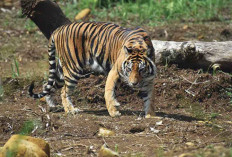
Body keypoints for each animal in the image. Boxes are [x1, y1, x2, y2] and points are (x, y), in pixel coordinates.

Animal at [28, 21, 157, 118]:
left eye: (141, 70)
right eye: (129, 69)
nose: (134, 83)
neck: (139, 46)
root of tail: (58, 29)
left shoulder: (149, 79)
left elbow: (150, 98)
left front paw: (151, 115)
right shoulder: (114, 71)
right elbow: (109, 91)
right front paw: (113, 112)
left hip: (61, 71)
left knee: (47, 85)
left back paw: (52, 105)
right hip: (72, 69)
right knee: (64, 91)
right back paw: (71, 110)